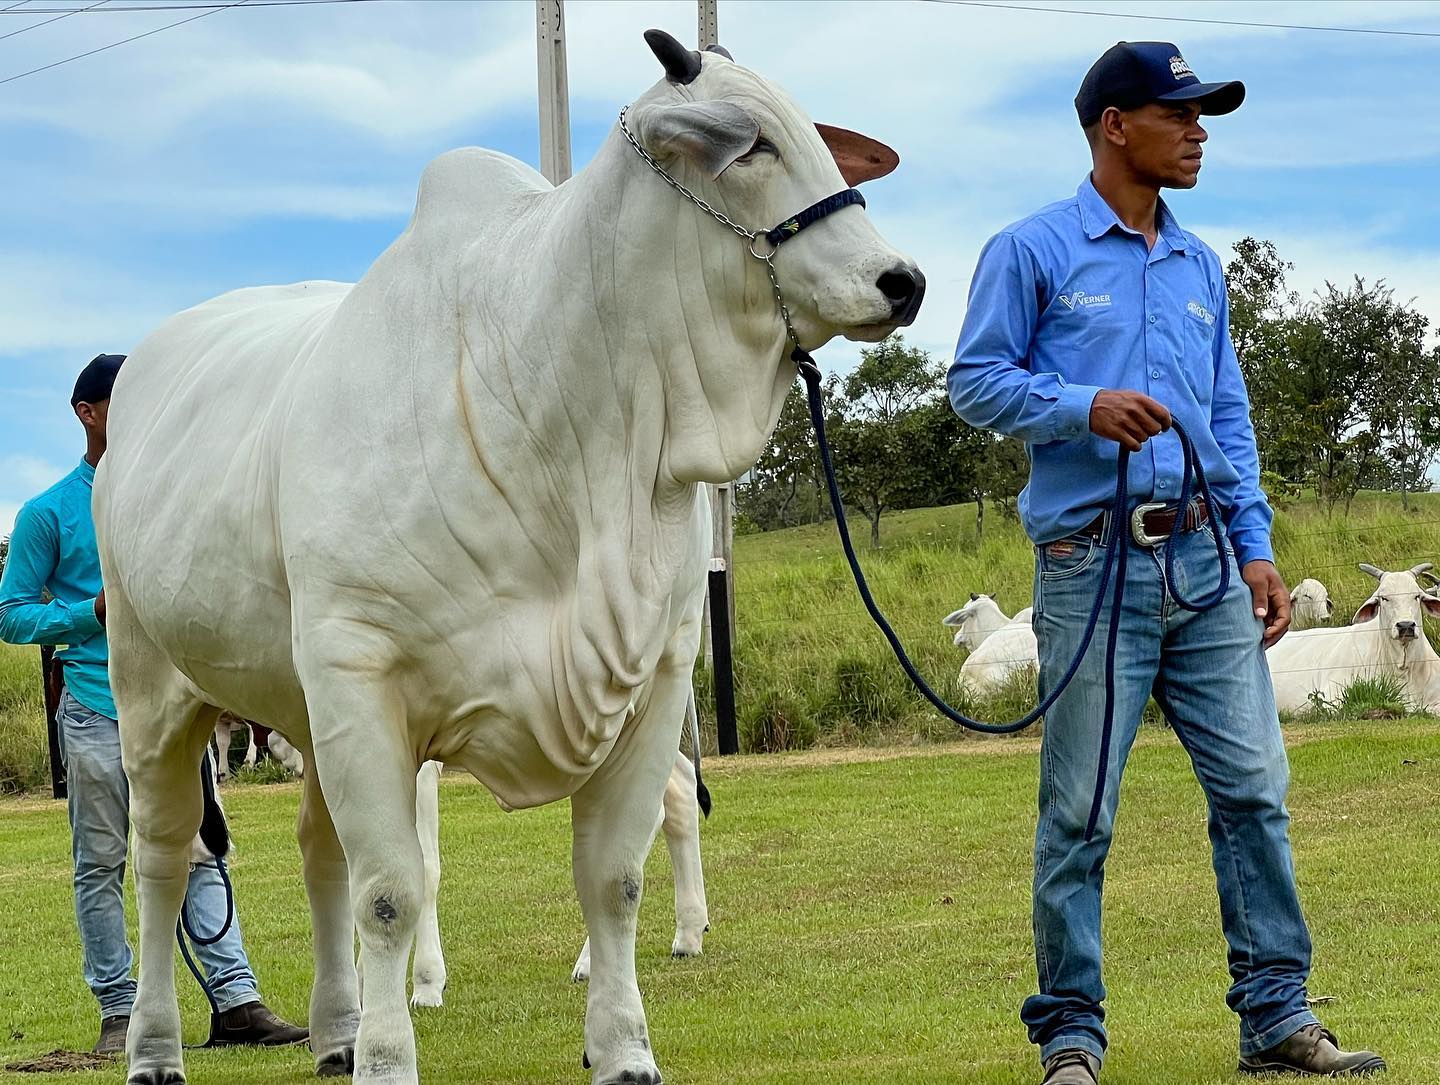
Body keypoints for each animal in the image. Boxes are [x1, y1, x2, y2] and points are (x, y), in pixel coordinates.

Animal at [92, 31, 921, 1083]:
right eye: (751, 145)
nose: (902, 280)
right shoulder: (365, 681)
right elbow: (392, 892)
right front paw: (392, 1056)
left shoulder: (654, 679)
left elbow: (612, 880)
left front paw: (623, 1048)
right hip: (152, 689)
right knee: (164, 864)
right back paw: (157, 1047)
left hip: (301, 705)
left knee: (319, 851)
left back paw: (335, 1033)